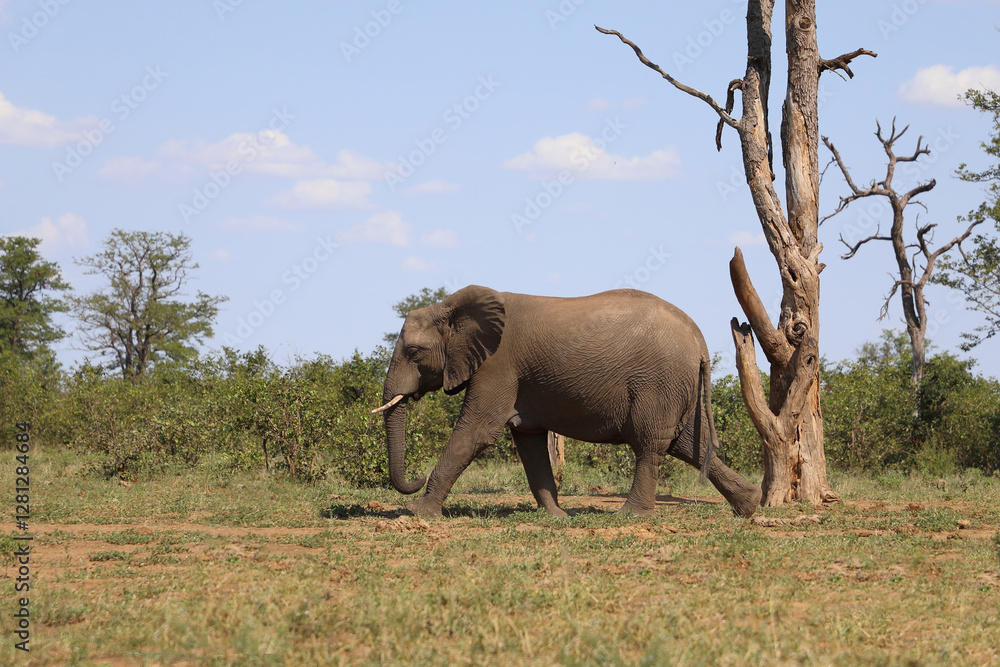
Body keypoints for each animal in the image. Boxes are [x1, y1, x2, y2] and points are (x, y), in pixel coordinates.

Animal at [373, 285, 762, 519]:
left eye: (414, 352)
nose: (416, 477)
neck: (450, 306)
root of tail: (700, 342)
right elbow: (528, 441)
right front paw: (556, 516)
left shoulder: (498, 365)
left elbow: (476, 432)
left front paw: (417, 513)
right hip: (678, 386)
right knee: (689, 444)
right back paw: (749, 506)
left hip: (658, 382)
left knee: (652, 442)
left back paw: (630, 515)